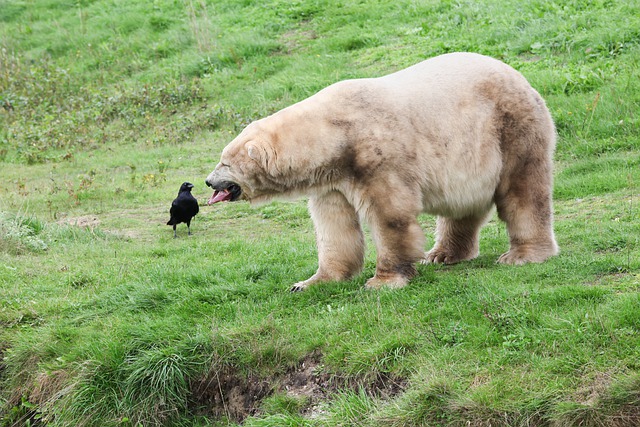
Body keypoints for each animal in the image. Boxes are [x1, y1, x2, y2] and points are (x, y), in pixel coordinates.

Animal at [206, 51, 560, 290]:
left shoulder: (377, 156)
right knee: (463, 205)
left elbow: (391, 215)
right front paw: (309, 282)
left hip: (510, 129)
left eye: (224, 162)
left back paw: (524, 254)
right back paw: (443, 254)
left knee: (523, 191)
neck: (334, 134)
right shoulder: (331, 179)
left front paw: (384, 281)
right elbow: (334, 226)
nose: (209, 181)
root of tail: (522, 78)